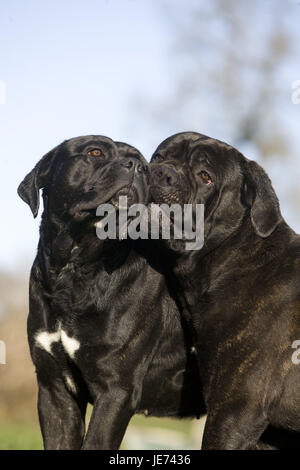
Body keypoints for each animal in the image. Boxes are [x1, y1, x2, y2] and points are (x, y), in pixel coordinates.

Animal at [17, 135, 203, 448]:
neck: (77, 271)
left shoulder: (116, 390)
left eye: (144, 163)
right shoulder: (55, 390)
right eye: (95, 152)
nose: (138, 167)